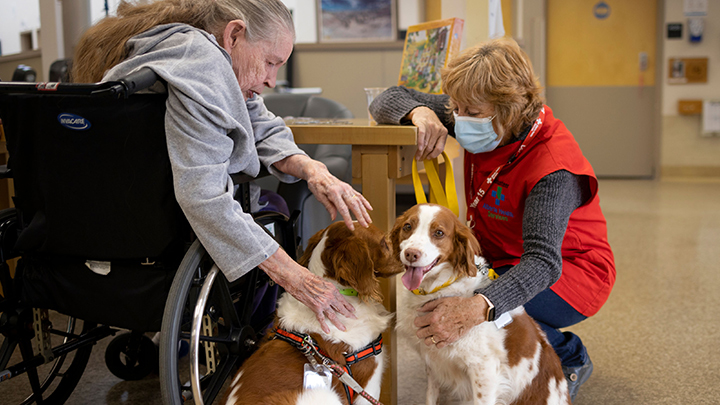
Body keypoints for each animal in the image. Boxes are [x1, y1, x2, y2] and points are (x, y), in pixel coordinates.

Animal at [390, 205, 572, 404]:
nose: (411, 254)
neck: (439, 287)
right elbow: (430, 397)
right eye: (407, 226)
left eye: (439, 233)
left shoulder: (484, 371)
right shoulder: (433, 361)